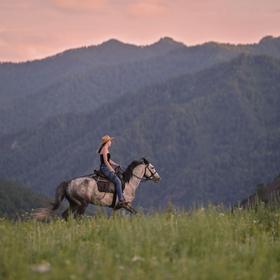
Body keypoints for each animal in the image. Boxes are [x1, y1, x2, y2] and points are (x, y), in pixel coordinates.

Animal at [32, 158, 160, 221]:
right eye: (153, 167)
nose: (158, 178)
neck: (129, 184)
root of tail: (69, 182)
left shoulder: (117, 208)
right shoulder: (125, 204)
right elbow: (137, 213)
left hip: (74, 203)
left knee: (66, 215)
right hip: (82, 203)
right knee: (77, 217)